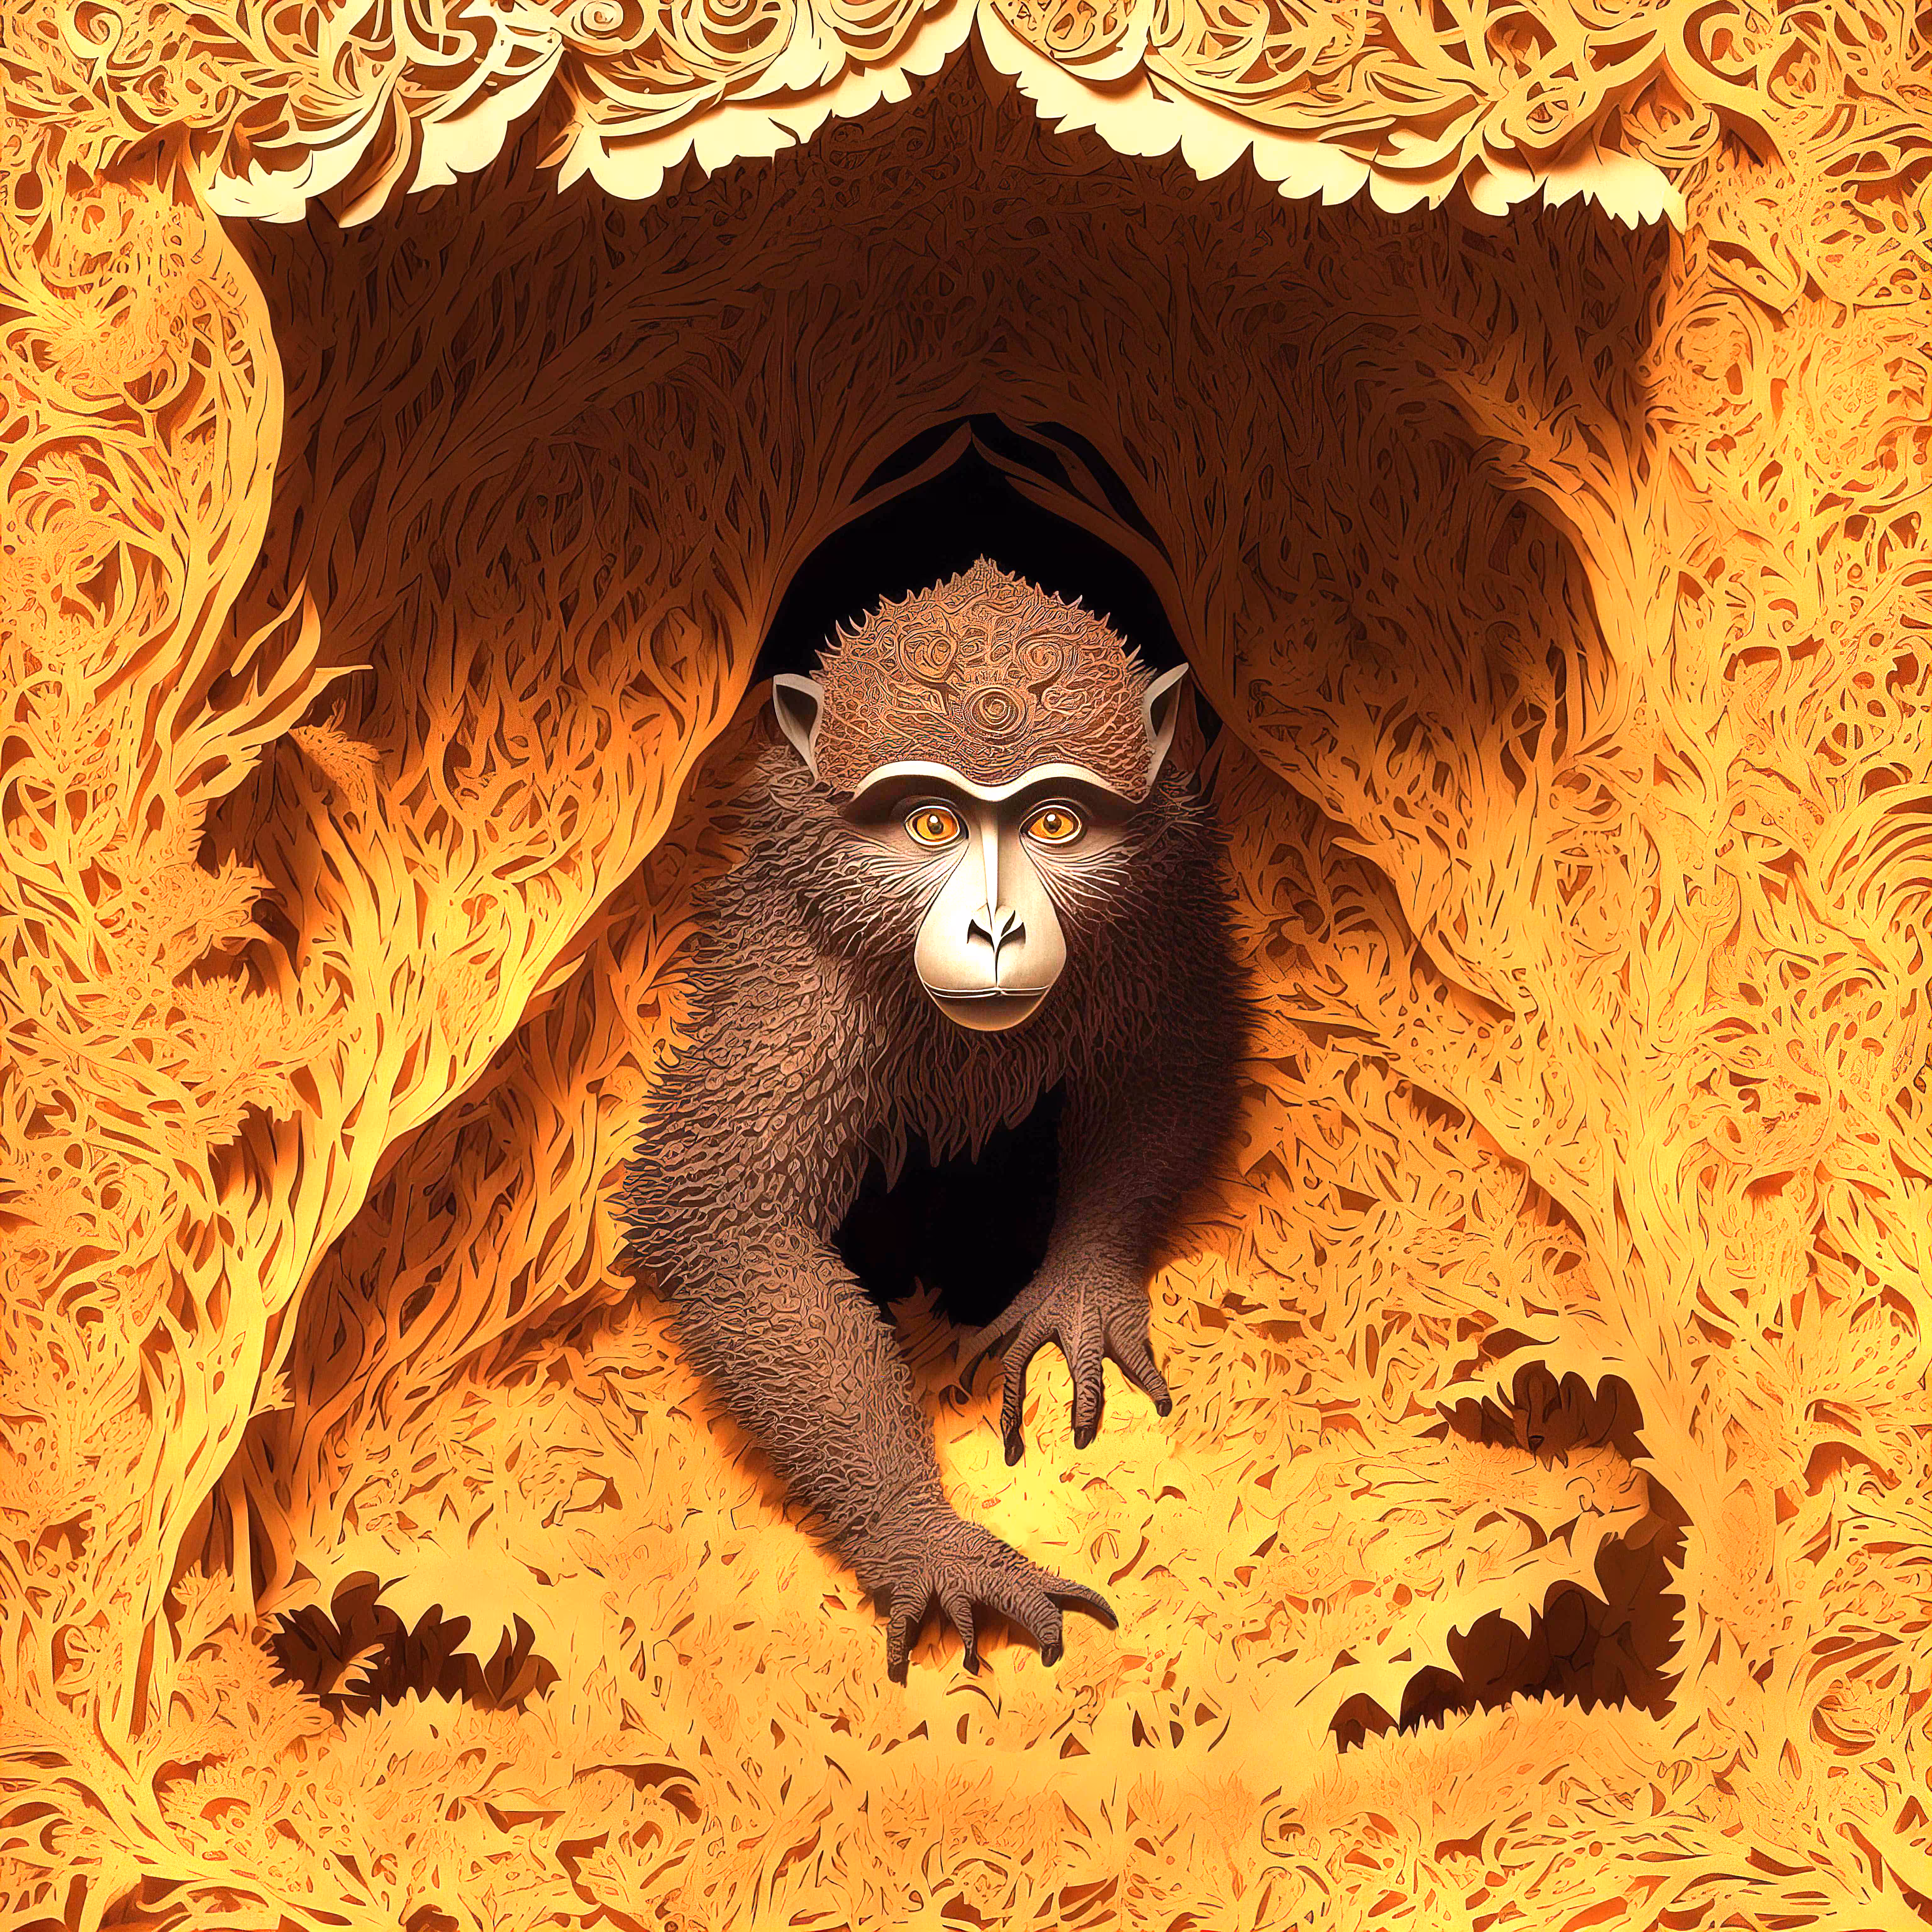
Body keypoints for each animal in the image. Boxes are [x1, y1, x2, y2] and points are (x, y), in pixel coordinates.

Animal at [620, 560, 1244, 1680]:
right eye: (930, 825)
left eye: (1055, 824)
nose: (994, 927)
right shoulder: (801, 982)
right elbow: (725, 1217)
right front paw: (928, 1542)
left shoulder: (1160, 900)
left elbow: (1176, 1057)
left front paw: (1079, 1287)